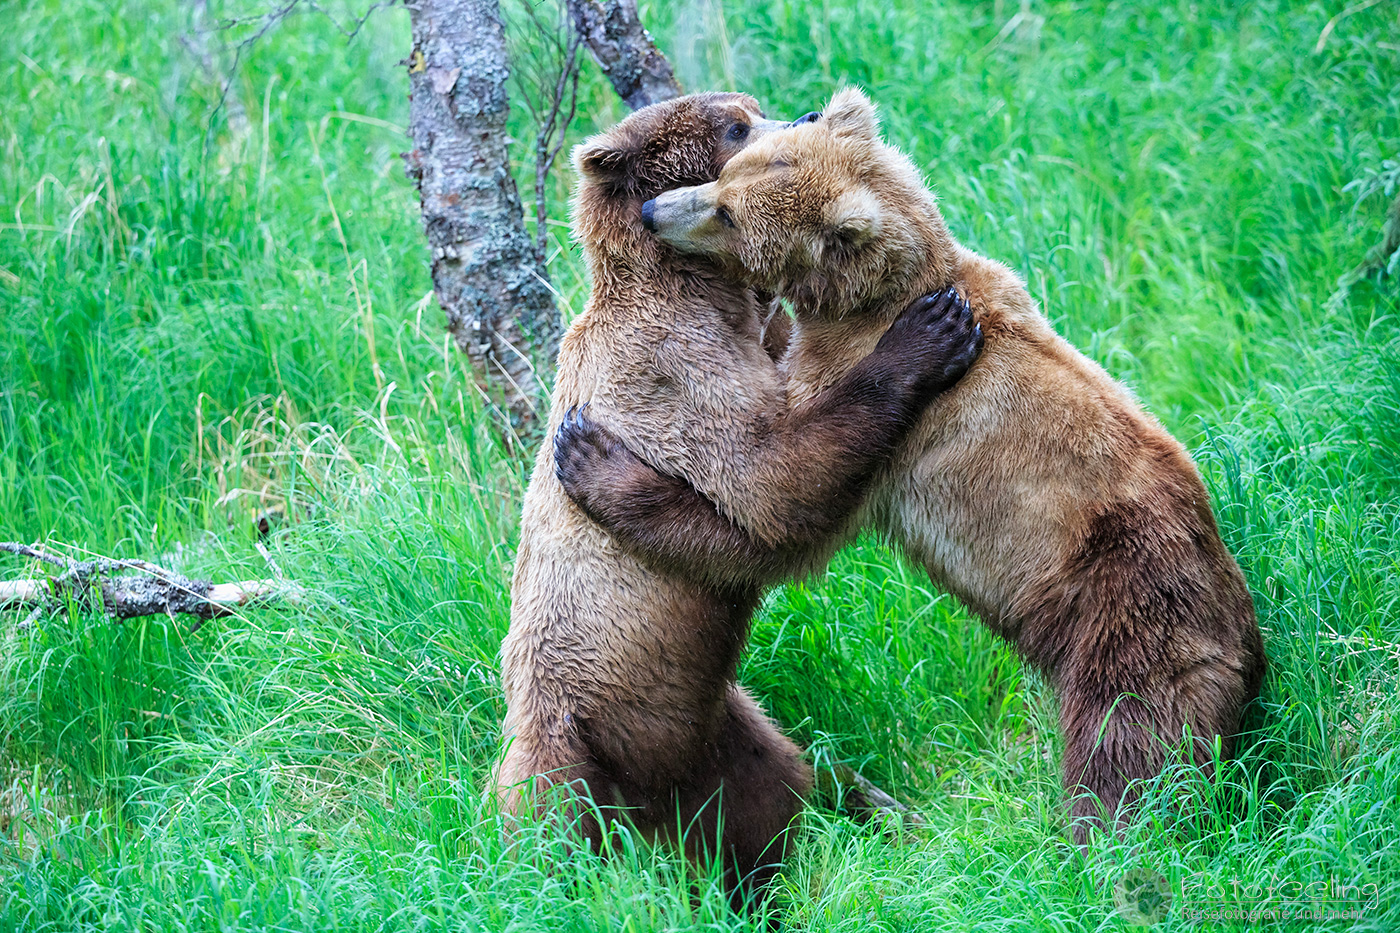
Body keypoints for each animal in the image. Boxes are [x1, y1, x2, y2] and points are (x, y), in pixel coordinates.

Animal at [495, 90, 984, 907]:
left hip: (727, 734)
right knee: (552, 836)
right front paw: (923, 334)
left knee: (767, 807)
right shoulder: (670, 375)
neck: (702, 293)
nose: (805, 114)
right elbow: (765, 481)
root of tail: (654, 794)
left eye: (749, 108)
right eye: (732, 125)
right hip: (564, 753)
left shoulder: (750, 341)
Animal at [551, 87, 1266, 845]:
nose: (656, 213)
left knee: (1128, 751)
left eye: (726, 210)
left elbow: (776, 509)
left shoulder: (879, 424)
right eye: (726, 176)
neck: (863, 298)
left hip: (1123, 612)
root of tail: (1249, 649)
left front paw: (593, 458)